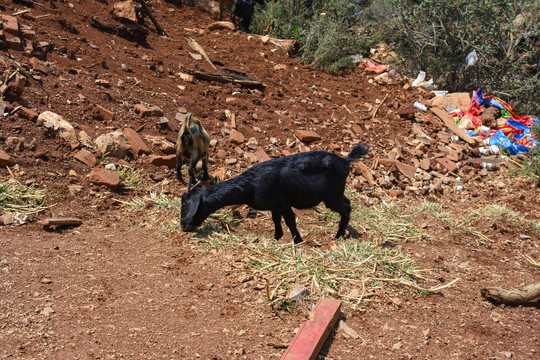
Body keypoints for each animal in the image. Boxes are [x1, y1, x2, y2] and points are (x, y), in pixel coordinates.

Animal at [179, 144, 370, 245]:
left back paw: (338, 236)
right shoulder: (274, 206)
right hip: (337, 192)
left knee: (345, 208)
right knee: (348, 203)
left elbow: (290, 220)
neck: (250, 186)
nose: (183, 226)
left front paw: (297, 241)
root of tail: (345, 160)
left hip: (331, 196)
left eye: (187, 205)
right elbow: (276, 220)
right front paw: (276, 237)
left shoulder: (283, 203)